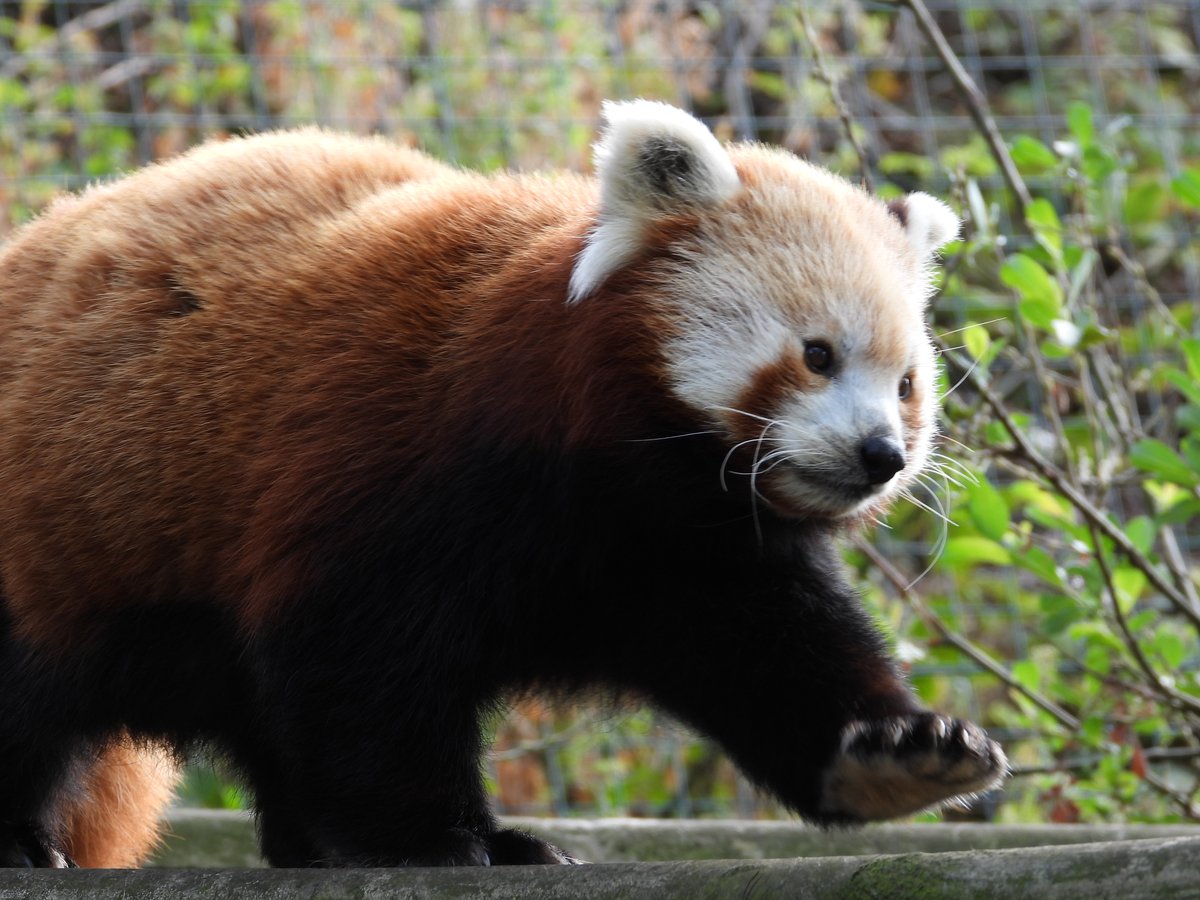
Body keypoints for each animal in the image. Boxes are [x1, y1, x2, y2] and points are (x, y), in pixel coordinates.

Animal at [0, 100, 1007, 868]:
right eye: (817, 355)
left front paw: (897, 756)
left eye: (906, 384)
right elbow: (361, 664)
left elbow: (781, 651)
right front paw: (443, 838)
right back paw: (26, 842)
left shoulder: (696, 548)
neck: (627, 481)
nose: (882, 454)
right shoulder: (395, 455)